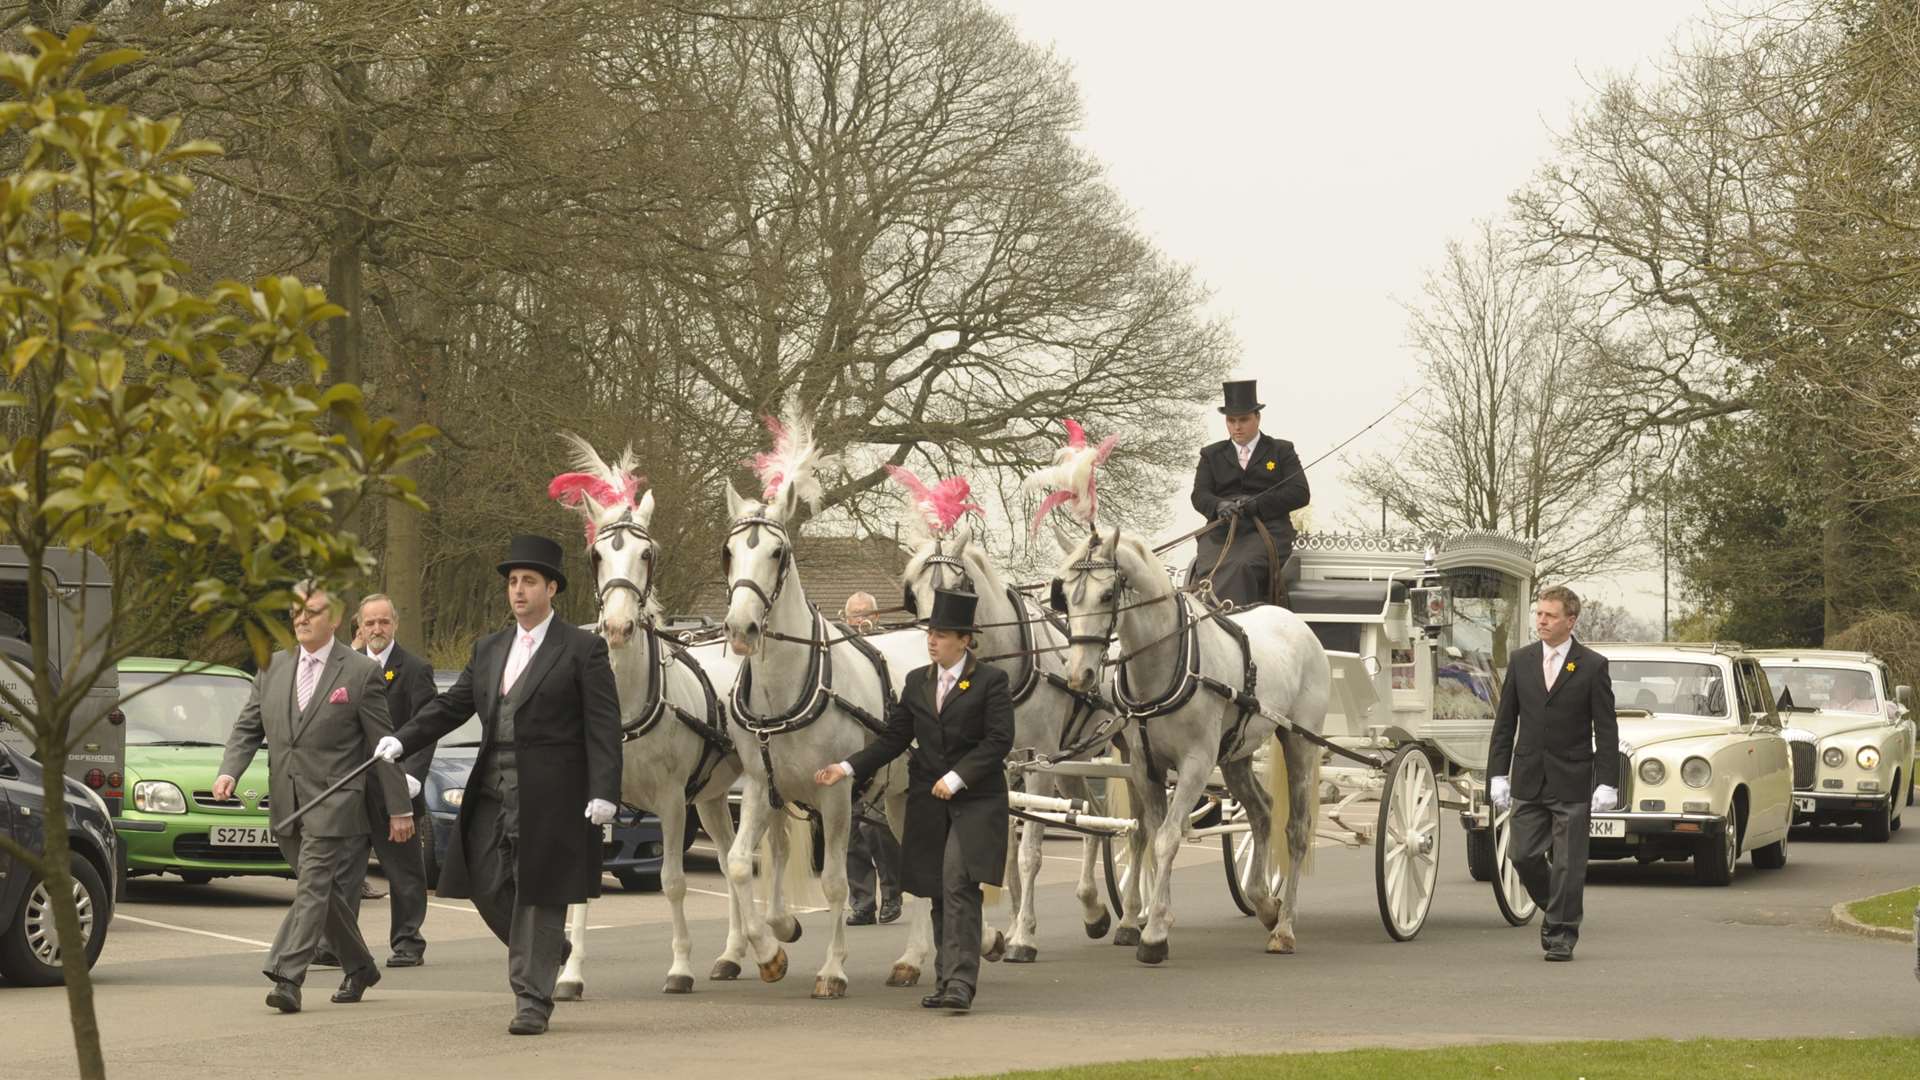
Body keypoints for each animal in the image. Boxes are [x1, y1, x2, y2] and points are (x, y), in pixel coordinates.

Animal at [545, 434, 791, 991]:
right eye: (596, 554)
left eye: (647, 553)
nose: (616, 627)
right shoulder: (592, 799)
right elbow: (578, 886)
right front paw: (570, 974)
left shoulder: (673, 801)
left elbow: (673, 882)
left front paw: (679, 966)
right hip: (714, 796)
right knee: (726, 857)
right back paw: (733, 953)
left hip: (755, 784)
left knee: (771, 849)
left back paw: (776, 926)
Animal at [718, 411, 940, 991]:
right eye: (729, 552)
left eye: (778, 553)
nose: (741, 628)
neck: (787, 689)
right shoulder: (760, 787)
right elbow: (741, 864)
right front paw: (773, 946)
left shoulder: (837, 795)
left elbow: (838, 883)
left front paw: (833, 968)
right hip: (901, 796)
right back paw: (914, 958)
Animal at [894, 511, 1121, 957]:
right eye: (912, 592)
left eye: (956, 588)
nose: (930, 641)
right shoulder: (997, 764)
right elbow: (1004, 847)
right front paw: (1011, 925)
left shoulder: (1036, 763)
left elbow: (1030, 851)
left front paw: (1024, 937)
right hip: (1071, 760)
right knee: (1092, 813)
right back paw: (1093, 910)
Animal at [1044, 526, 1328, 953]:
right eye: (1064, 595)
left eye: (1107, 595)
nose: (1080, 675)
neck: (1164, 662)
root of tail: (1295, 621)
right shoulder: (1145, 766)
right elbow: (1151, 832)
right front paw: (1146, 919)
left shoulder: (1196, 764)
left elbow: (1166, 838)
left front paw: (1155, 932)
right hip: (1234, 755)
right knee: (1261, 811)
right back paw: (1263, 902)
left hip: (1300, 743)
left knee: (1295, 830)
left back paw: (1285, 927)